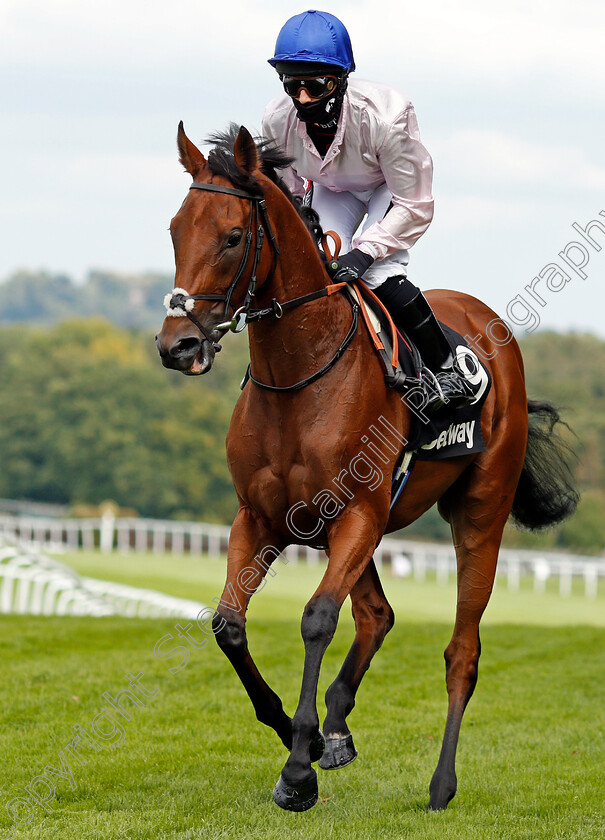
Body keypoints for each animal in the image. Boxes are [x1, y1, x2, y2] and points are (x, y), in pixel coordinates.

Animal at [155, 121, 576, 812]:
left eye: (234, 236)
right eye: (174, 228)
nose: (178, 345)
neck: (300, 375)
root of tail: (490, 325)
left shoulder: (357, 513)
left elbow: (317, 619)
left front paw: (298, 771)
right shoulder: (262, 517)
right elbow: (228, 625)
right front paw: (290, 731)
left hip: (476, 514)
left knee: (462, 649)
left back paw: (440, 783)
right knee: (378, 616)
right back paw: (336, 728)